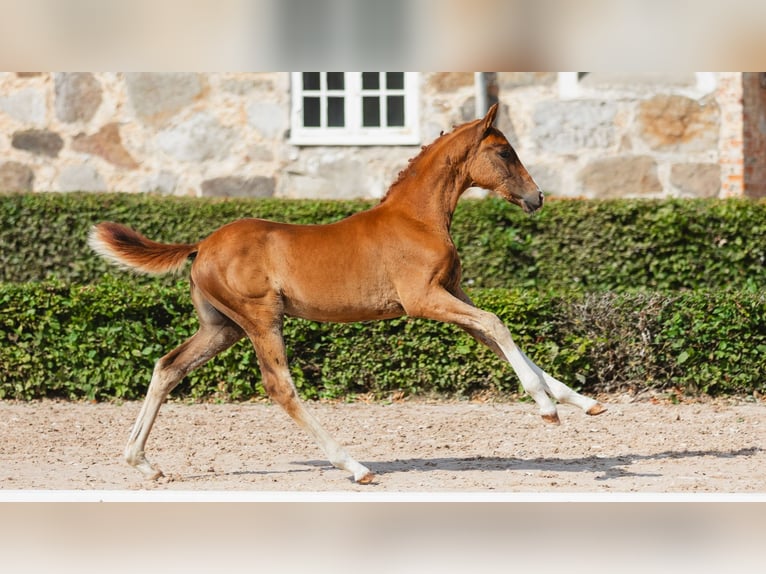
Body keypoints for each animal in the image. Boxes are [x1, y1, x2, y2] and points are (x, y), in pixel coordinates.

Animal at [88, 103, 606, 484]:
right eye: (503, 152)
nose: (537, 197)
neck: (417, 218)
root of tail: (201, 245)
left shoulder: (451, 293)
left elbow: (498, 335)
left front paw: (582, 402)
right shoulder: (423, 300)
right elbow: (497, 326)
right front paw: (547, 408)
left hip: (223, 327)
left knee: (168, 366)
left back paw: (142, 462)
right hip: (260, 319)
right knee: (280, 386)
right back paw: (355, 466)